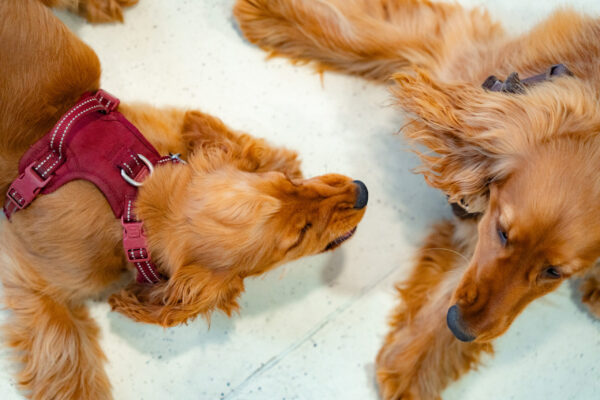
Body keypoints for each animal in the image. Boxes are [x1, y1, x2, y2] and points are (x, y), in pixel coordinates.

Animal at [0, 1, 368, 399]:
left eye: (286, 184)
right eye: (299, 235)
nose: (362, 191)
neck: (131, 203)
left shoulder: (163, 127)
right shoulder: (32, 281)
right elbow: (64, 353)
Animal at [234, 0, 600, 398]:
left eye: (554, 272)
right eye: (503, 232)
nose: (463, 328)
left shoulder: (474, 248)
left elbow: (450, 296)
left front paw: (413, 367)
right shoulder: (460, 58)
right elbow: (372, 37)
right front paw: (273, 15)